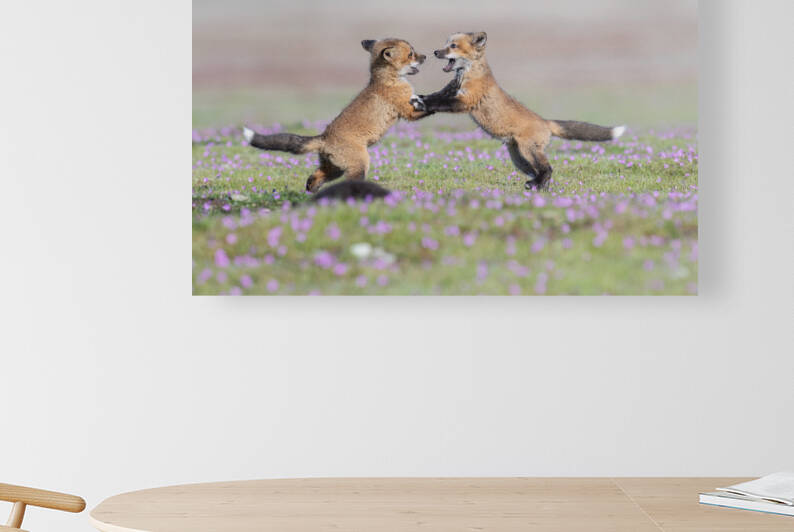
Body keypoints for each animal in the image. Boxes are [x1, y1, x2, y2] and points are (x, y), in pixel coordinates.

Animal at [243, 38, 434, 193]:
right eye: (411, 54)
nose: (425, 56)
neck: (387, 80)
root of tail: (324, 138)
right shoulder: (407, 110)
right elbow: (426, 108)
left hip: (334, 168)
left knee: (313, 178)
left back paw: (312, 194)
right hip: (359, 165)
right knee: (348, 180)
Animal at [414, 32, 626, 190]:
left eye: (453, 46)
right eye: (446, 44)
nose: (435, 52)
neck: (467, 75)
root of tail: (545, 121)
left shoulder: (465, 101)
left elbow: (441, 104)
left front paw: (423, 104)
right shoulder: (449, 91)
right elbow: (435, 96)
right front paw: (420, 99)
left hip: (528, 151)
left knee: (548, 169)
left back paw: (536, 185)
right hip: (519, 159)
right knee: (541, 172)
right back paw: (538, 186)